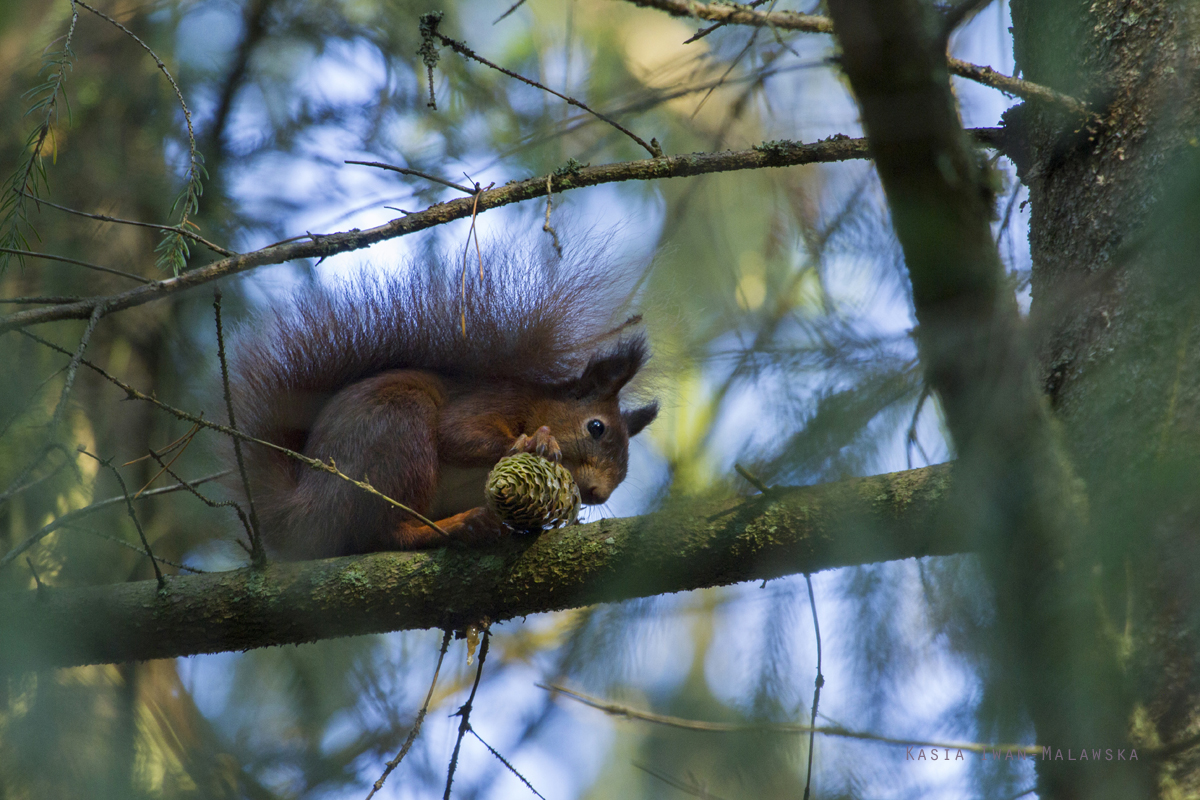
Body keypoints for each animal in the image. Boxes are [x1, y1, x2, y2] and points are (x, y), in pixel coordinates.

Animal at [225, 253, 657, 561]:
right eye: (596, 428)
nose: (599, 494)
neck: (539, 405)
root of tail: (302, 514)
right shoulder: (490, 401)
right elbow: (457, 433)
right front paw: (534, 442)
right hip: (397, 433)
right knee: (383, 533)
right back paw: (457, 526)